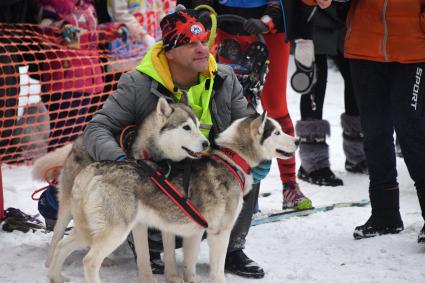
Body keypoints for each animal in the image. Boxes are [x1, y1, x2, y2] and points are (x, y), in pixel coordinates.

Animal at [31, 98, 209, 270]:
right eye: (186, 127)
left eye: (198, 126)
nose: (206, 143)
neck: (157, 159)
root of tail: (78, 140)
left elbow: (169, 247)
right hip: (70, 205)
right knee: (58, 233)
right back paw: (50, 262)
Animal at [47, 113, 298, 283]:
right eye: (277, 132)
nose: (296, 140)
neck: (232, 159)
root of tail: (92, 170)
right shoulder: (220, 232)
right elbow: (218, 269)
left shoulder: (195, 232)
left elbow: (189, 264)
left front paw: (190, 277)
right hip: (115, 231)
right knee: (89, 261)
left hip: (89, 228)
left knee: (60, 245)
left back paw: (56, 276)